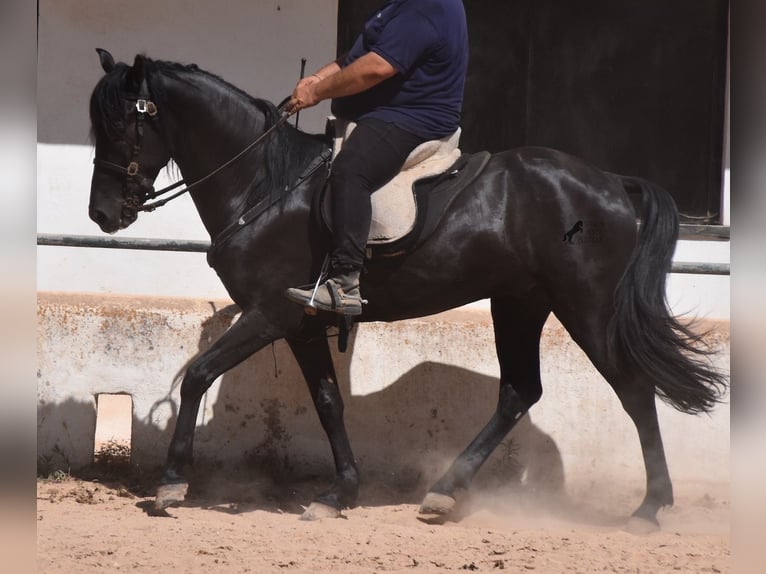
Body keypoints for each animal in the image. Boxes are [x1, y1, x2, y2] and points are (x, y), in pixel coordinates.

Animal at [88, 50, 728, 532]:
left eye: (121, 126)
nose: (101, 215)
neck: (264, 184)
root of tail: (611, 182)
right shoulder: (301, 322)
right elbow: (328, 402)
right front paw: (339, 494)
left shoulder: (269, 314)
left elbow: (197, 375)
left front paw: (172, 483)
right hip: (519, 302)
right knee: (520, 391)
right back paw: (444, 492)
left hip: (587, 305)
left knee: (634, 390)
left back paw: (649, 508)